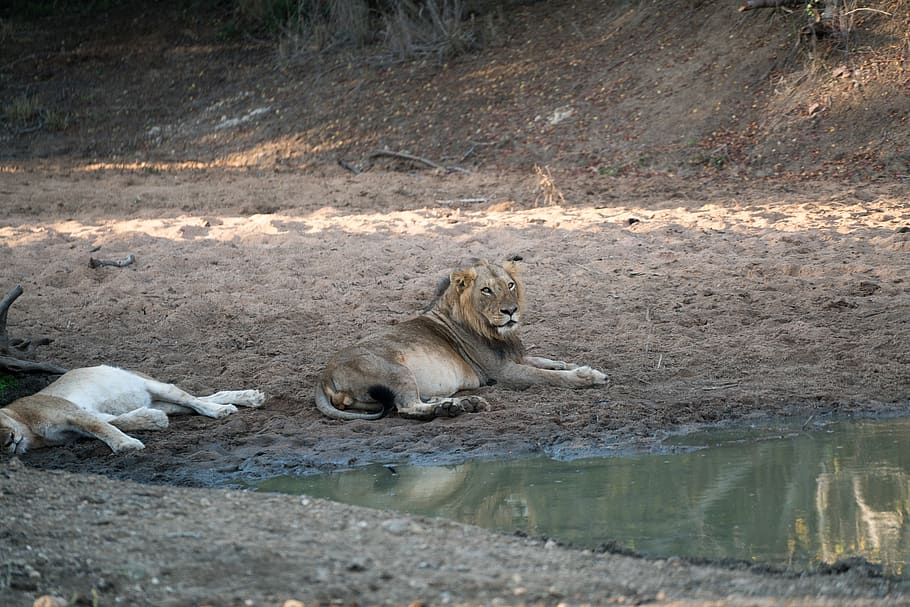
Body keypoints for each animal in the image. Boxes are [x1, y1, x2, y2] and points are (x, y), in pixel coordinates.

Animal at [1, 364, 268, 454]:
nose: (7, 442)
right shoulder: (77, 425)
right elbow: (115, 422)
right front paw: (153, 420)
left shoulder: (70, 411)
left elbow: (104, 427)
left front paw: (127, 446)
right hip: (165, 401)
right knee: (199, 400)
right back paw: (249, 398)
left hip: (154, 385)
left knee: (193, 399)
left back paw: (224, 410)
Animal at [318, 258, 608, 420]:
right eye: (487, 290)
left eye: (510, 285)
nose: (511, 311)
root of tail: (324, 377)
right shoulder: (501, 372)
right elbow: (547, 376)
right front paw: (589, 378)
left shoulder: (515, 356)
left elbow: (548, 361)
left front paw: (580, 366)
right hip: (395, 370)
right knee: (407, 407)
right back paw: (450, 409)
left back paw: (463, 403)